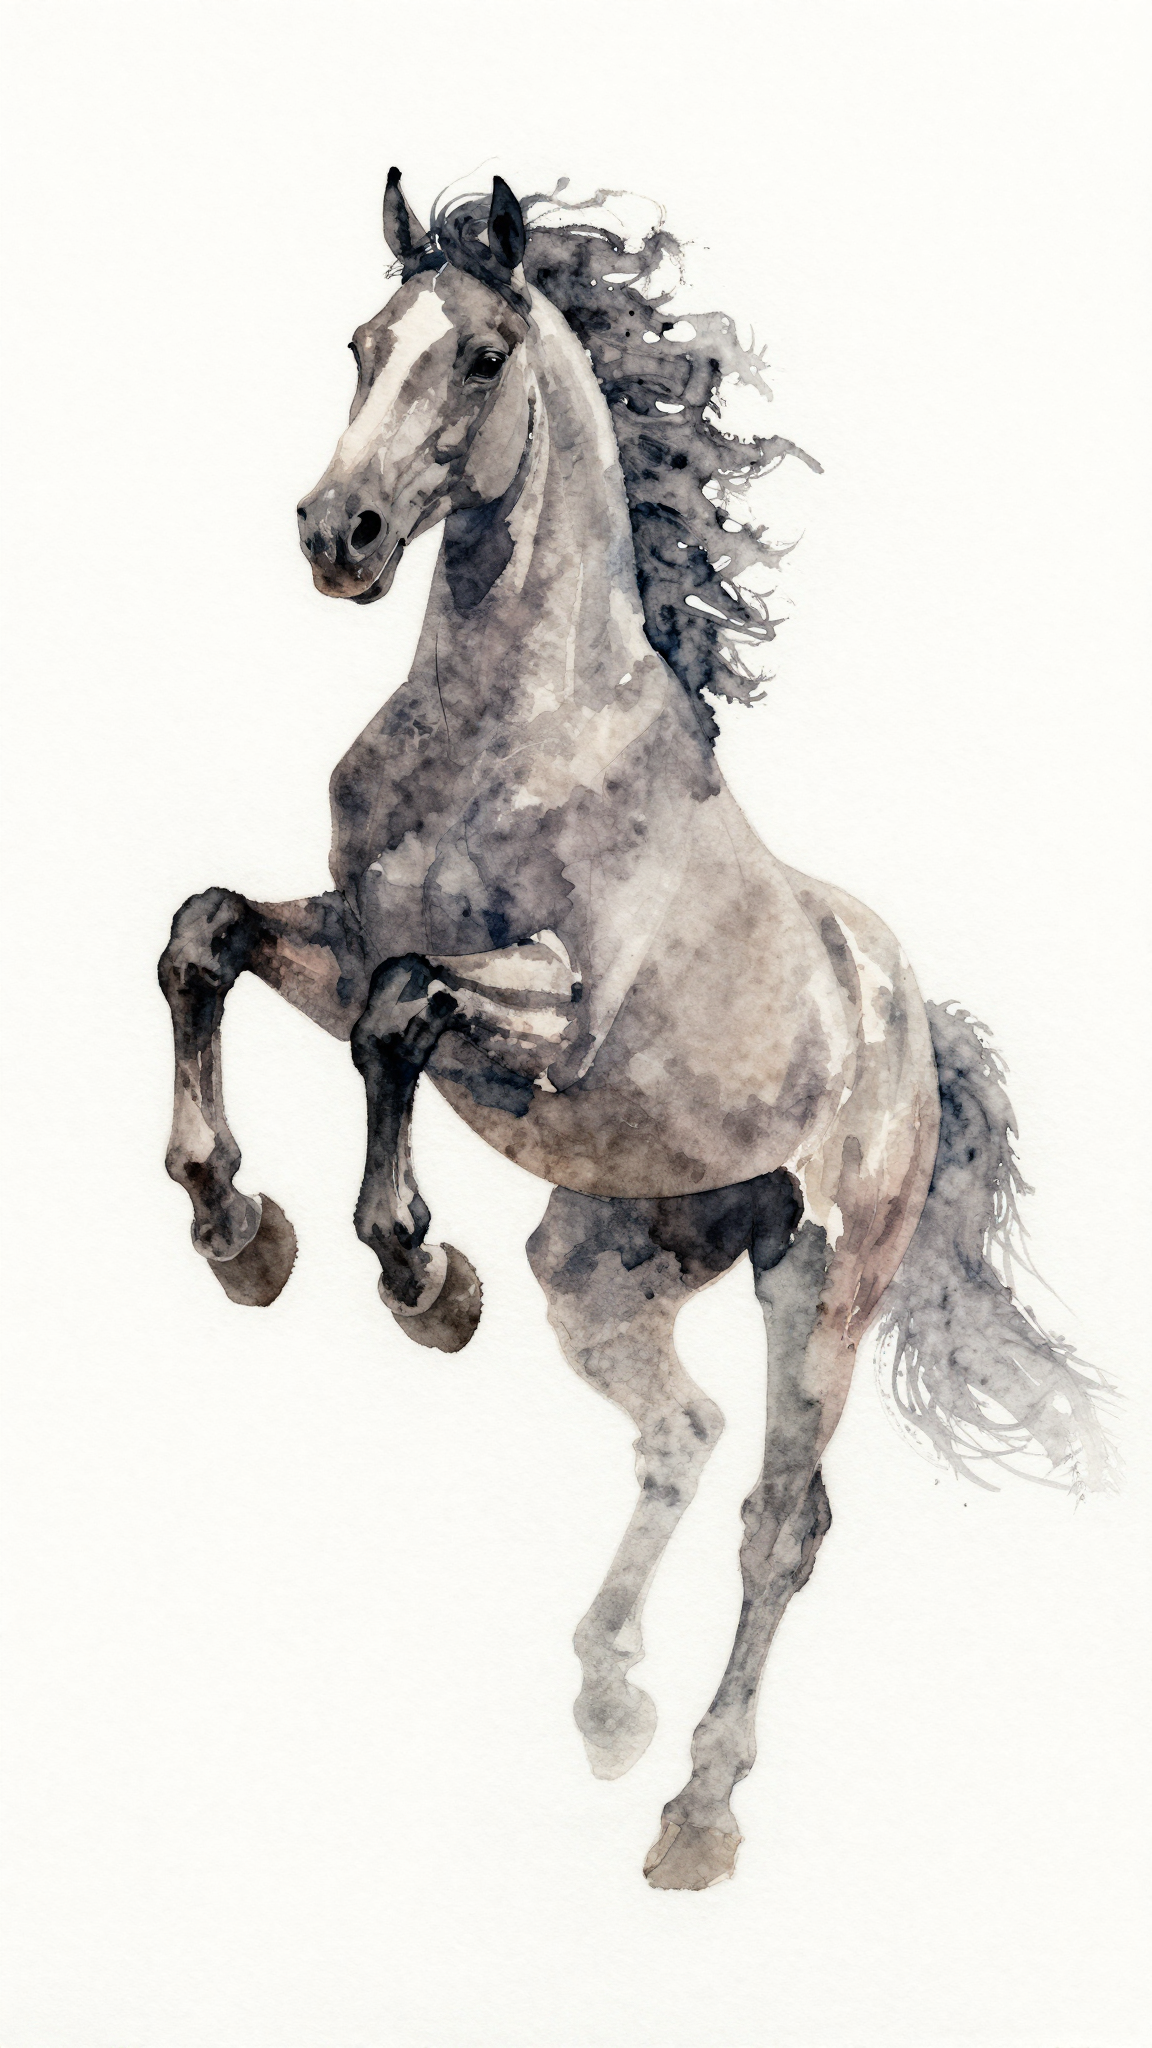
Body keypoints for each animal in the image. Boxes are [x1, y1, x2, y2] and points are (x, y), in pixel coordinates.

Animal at [159, 171, 1112, 1890]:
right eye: (360, 341)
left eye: (477, 357)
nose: (338, 536)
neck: (513, 737)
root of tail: (907, 1019)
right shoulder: (336, 935)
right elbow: (208, 931)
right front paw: (239, 1234)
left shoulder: (549, 1018)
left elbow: (403, 1019)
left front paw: (416, 1276)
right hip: (607, 1265)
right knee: (680, 1428)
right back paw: (608, 1704)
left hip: (821, 1275)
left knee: (781, 1519)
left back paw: (696, 1814)